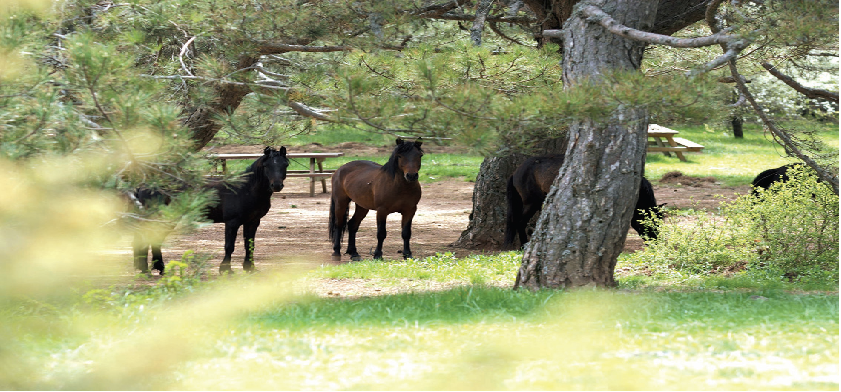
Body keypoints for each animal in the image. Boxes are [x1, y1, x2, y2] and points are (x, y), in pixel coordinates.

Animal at [132, 145, 288, 274]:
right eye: (267, 165)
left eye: (285, 164)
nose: (276, 185)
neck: (246, 189)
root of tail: (143, 186)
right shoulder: (232, 222)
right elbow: (229, 246)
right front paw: (225, 269)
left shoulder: (253, 222)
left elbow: (249, 245)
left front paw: (249, 268)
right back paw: (148, 268)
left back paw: (158, 268)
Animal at [502, 155, 668, 250]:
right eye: (646, 222)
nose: (655, 243)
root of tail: (516, 172)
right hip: (532, 203)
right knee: (520, 221)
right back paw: (523, 246)